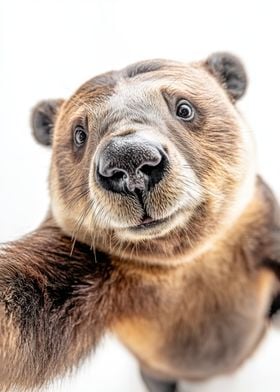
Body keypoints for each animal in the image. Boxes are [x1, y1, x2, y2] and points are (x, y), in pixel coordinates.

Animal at [0, 52, 280, 392]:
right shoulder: (83, 268)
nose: (130, 160)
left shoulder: (258, 229)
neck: (183, 262)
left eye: (184, 108)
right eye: (79, 133)